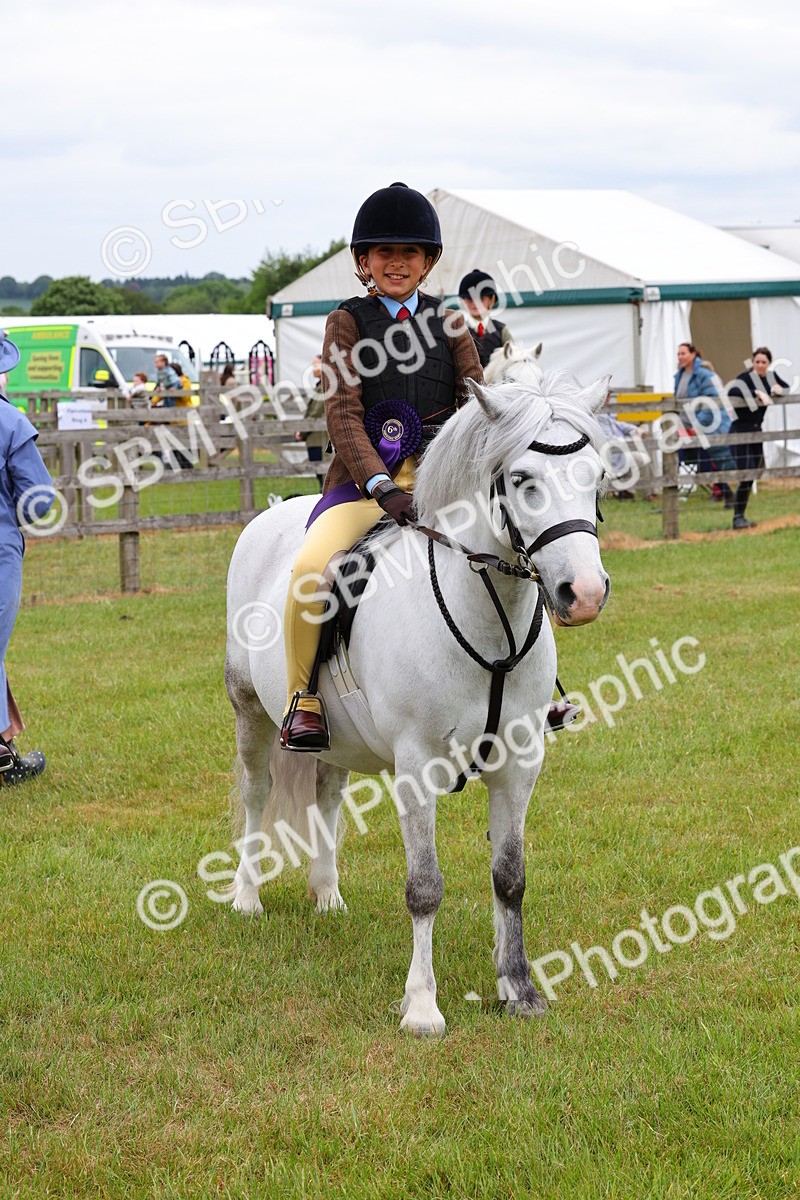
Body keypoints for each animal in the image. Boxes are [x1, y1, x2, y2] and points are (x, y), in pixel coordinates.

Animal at [224, 366, 611, 1035]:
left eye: (596, 476)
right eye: (522, 479)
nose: (582, 593)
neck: (489, 618)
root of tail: (272, 515)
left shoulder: (520, 764)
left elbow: (510, 878)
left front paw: (518, 989)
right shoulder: (416, 767)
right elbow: (425, 887)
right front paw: (423, 1007)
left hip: (334, 737)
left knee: (326, 793)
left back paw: (327, 894)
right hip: (250, 711)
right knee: (257, 793)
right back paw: (247, 897)